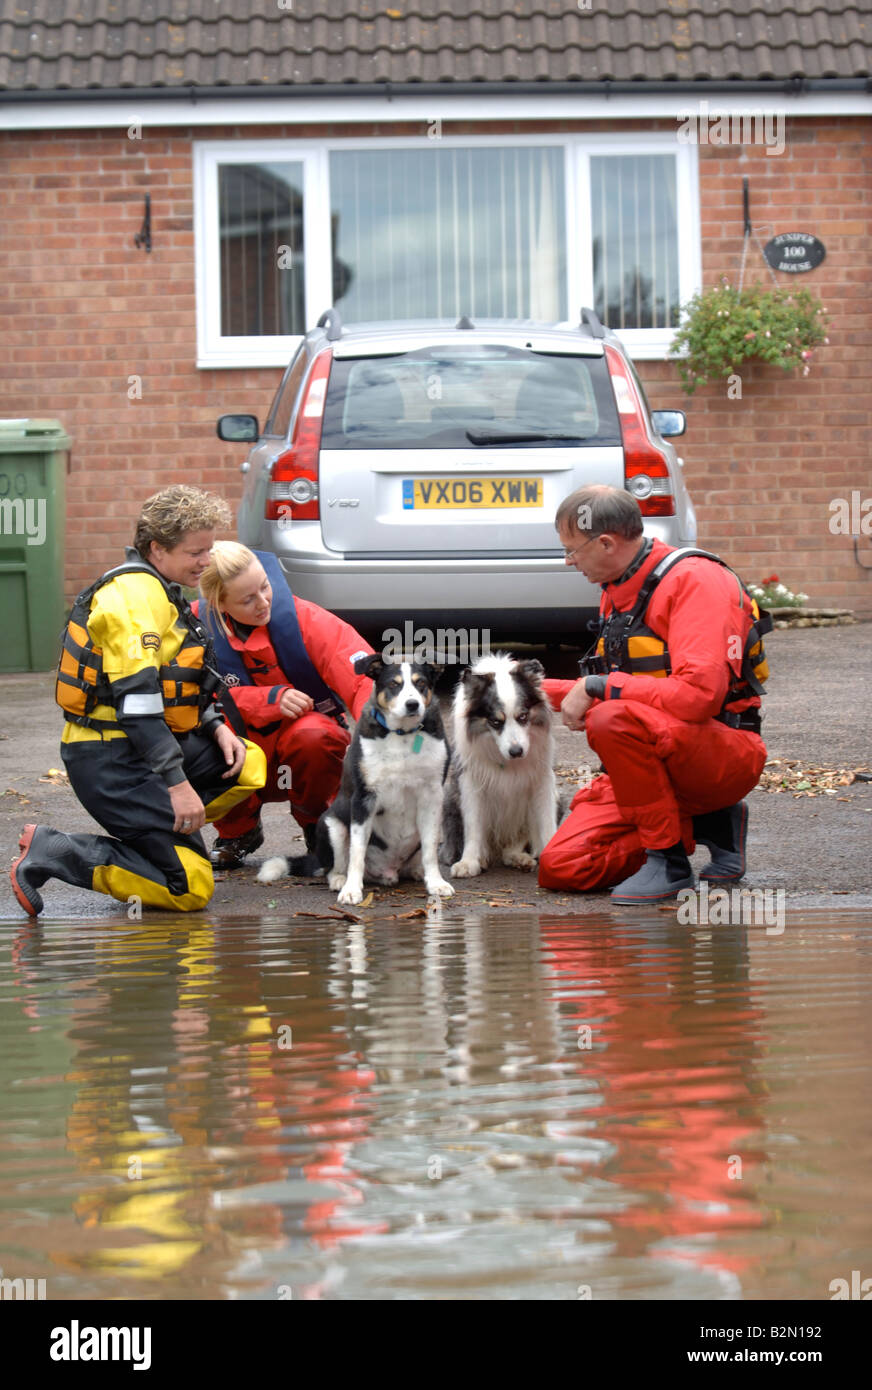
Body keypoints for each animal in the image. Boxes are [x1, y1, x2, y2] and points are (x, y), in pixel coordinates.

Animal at [257, 656, 456, 906]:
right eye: (393, 684)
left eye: (421, 683)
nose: (412, 705)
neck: (402, 735)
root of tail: (389, 871)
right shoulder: (364, 798)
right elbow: (357, 852)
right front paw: (352, 889)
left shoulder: (431, 796)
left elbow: (430, 849)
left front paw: (436, 882)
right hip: (331, 825)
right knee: (334, 865)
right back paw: (339, 879)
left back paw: (417, 872)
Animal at [450, 653, 559, 872]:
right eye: (495, 722)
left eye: (523, 716)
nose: (516, 752)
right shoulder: (471, 783)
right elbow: (473, 825)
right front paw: (469, 861)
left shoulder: (542, 780)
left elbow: (546, 821)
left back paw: (518, 857)